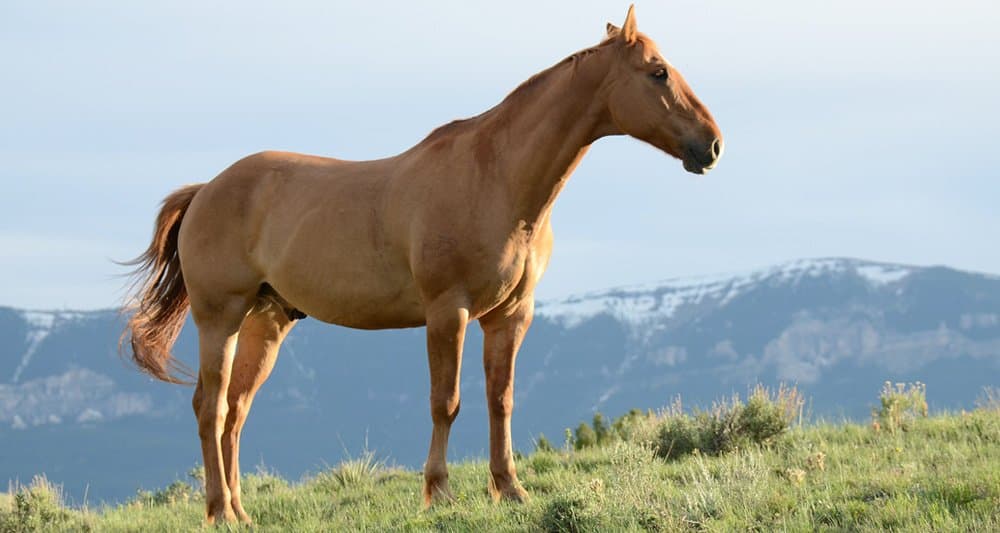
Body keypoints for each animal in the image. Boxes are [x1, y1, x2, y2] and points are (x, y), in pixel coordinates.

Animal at [122, 5, 721, 524]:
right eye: (658, 72)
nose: (712, 145)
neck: (496, 179)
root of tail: (206, 190)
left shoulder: (511, 316)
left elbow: (500, 400)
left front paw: (510, 489)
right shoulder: (447, 313)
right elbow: (446, 402)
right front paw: (439, 493)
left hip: (265, 322)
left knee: (236, 412)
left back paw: (240, 511)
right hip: (220, 317)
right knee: (211, 408)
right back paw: (220, 511)